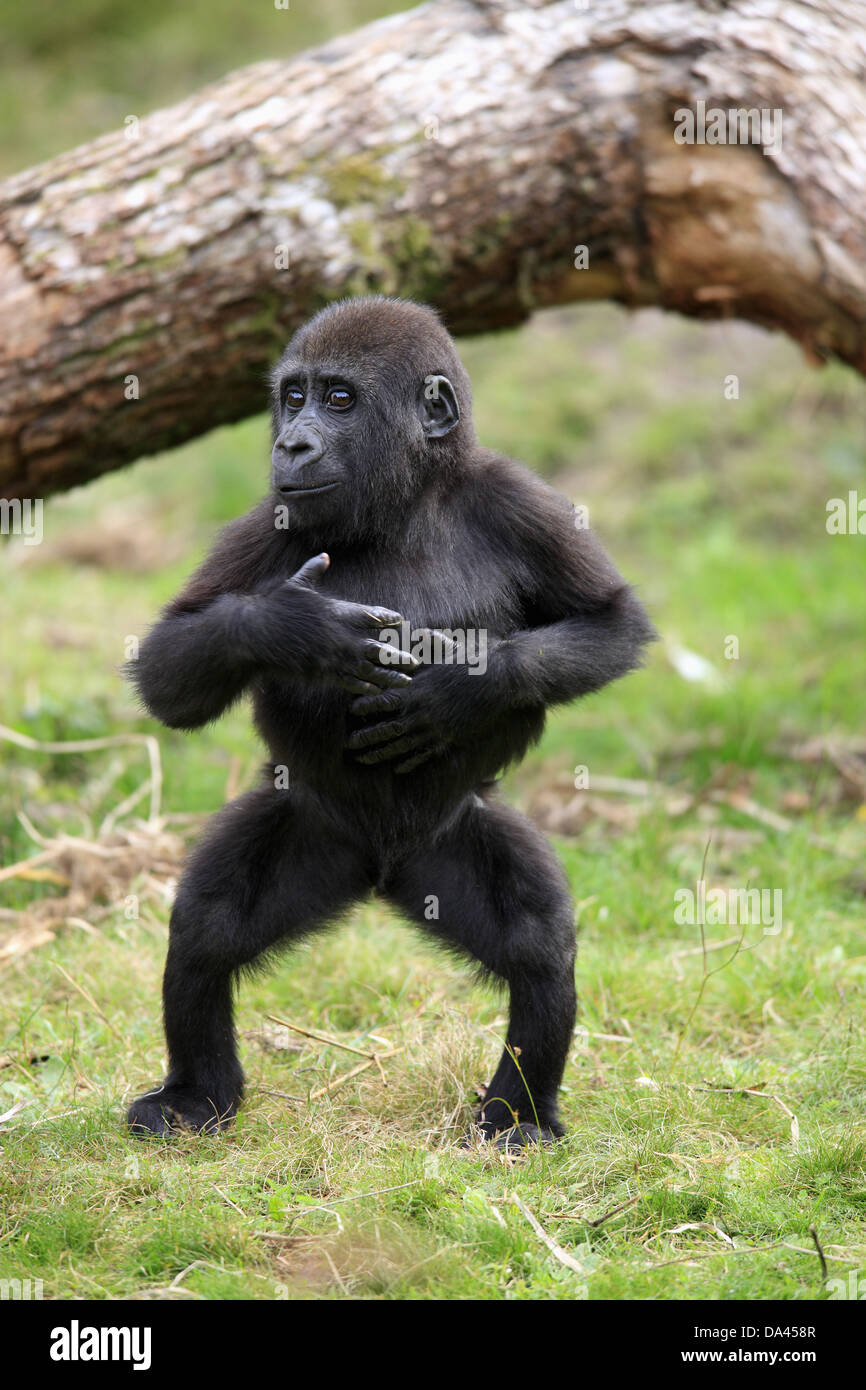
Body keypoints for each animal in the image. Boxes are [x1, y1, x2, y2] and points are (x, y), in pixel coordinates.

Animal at [126, 296, 654, 1146]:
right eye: (294, 396)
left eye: (339, 399)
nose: (292, 441)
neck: (406, 503)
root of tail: (378, 873)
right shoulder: (267, 521)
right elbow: (169, 670)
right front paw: (296, 628)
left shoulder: (519, 500)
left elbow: (611, 622)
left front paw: (462, 689)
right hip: (315, 827)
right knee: (207, 926)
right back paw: (196, 1096)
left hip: (453, 833)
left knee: (538, 946)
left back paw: (519, 1113)